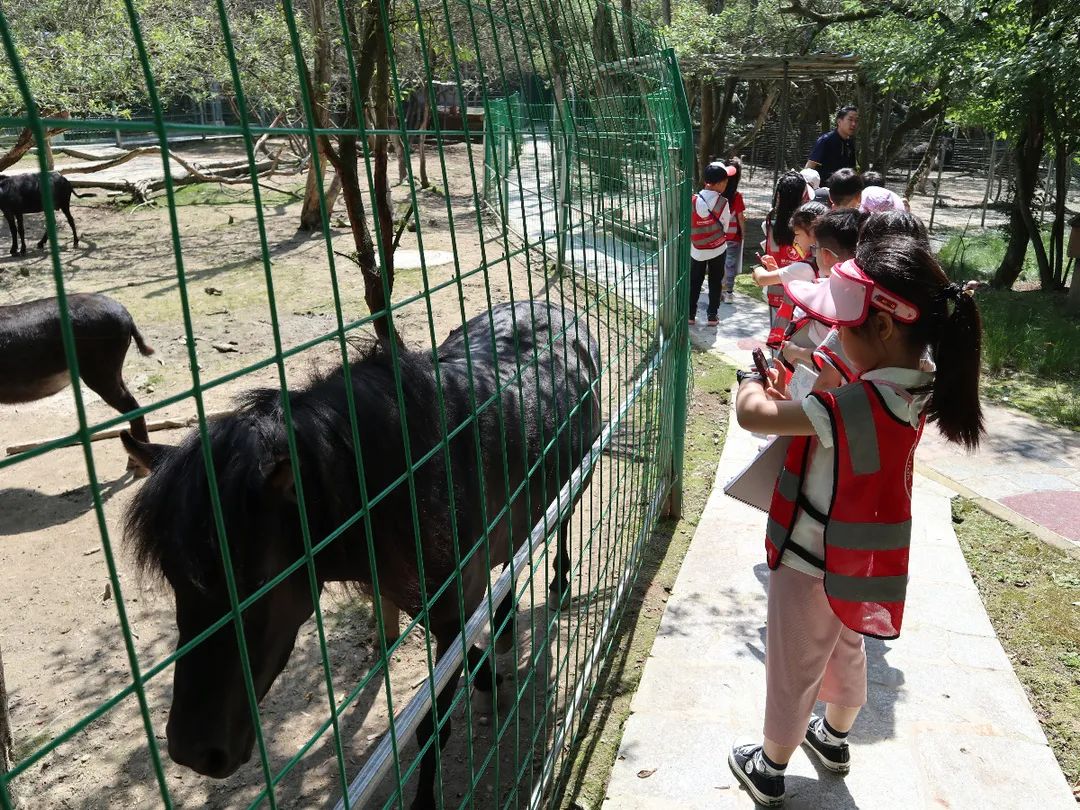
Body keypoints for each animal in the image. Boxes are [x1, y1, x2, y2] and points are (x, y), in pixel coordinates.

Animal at [122, 302, 604, 807]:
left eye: (255, 584)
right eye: (173, 577)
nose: (194, 752)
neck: (415, 483)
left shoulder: (451, 613)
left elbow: (432, 726)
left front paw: (425, 799)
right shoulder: (440, 607)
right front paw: (491, 680)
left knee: (563, 525)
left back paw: (559, 583)